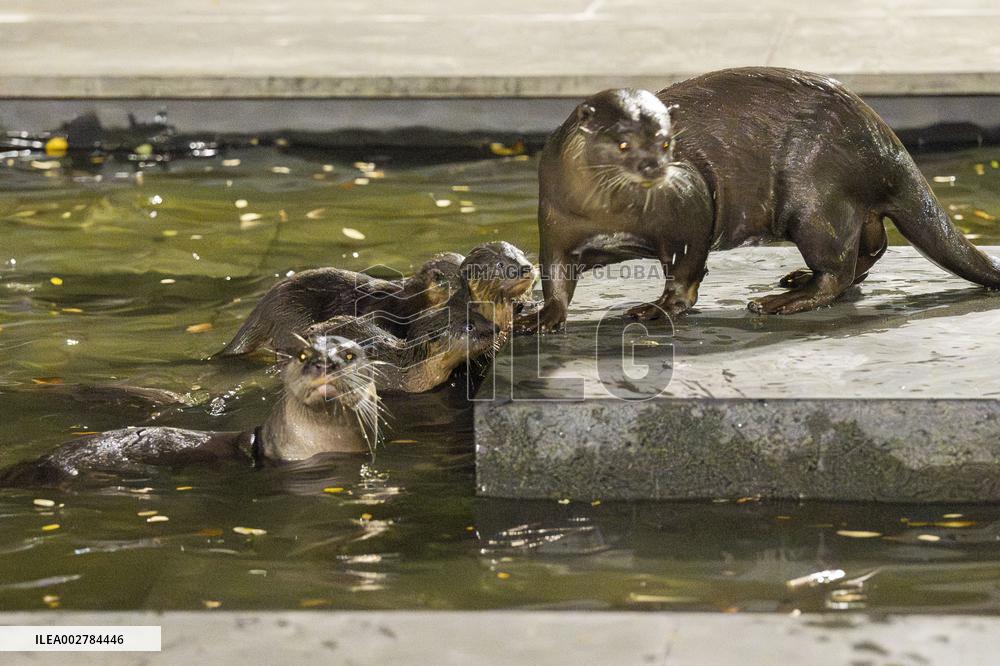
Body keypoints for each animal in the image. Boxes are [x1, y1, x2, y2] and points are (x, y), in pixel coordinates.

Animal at [219, 241, 535, 356]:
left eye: (522, 254)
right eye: (457, 276)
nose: (526, 267)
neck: (411, 303)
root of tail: (262, 310)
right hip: (293, 317)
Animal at [518, 67, 1000, 331]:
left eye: (666, 141)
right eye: (622, 144)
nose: (656, 168)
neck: (611, 215)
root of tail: (887, 142)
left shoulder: (692, 209)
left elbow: (685, 272)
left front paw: (657, 308)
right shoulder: (554, 220)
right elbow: (556, 273)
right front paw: (541, 316)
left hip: (816, 196)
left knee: (838, 269)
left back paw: (780, 300)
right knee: (873, 245)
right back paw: (796, 279)